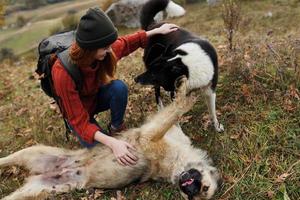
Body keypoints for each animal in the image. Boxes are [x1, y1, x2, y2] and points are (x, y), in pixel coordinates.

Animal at [0, 77, 220, 200]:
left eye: (202, 192)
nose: (189, 188)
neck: (178, 163)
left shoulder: (149, 137)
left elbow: (177, 108)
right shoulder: (155, 132)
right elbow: (176, 110)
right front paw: (186, 89)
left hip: (36, 190)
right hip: (33, 152)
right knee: (6, 159)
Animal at [135, 0, 224, 133]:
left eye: (153, 73)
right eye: (150, 71)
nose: (135, 79)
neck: (186, 63)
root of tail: (152, 25)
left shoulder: (210, 90)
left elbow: (212, 112)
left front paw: (217, 127)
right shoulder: (176, 95)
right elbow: (174, 117)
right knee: (157, 93)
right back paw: (160, 108)